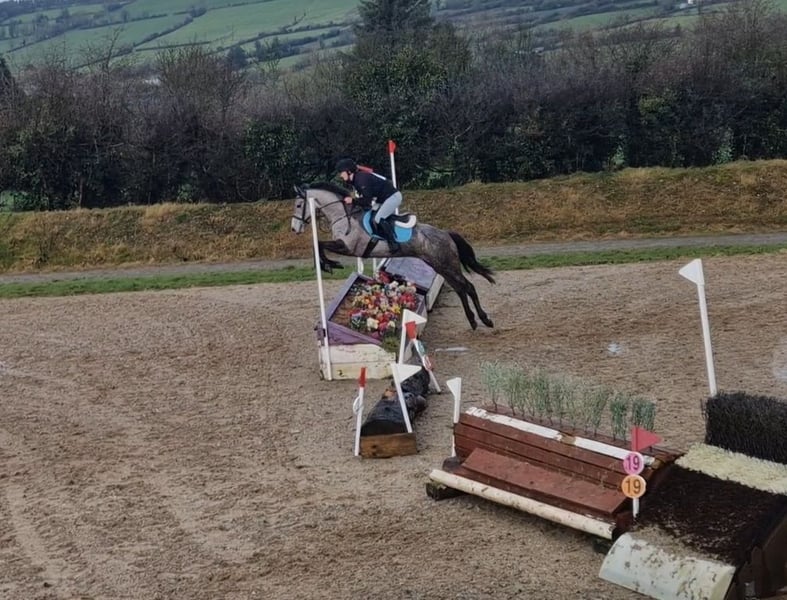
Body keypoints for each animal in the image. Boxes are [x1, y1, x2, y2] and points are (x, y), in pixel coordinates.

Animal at [291, 182, 495, 330]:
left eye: (299, 204)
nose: (295, 229)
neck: (343, 215)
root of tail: (446, 233)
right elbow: (318, 245)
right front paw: (328, 264)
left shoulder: (348, 247)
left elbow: (319, 244)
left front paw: (329, 265)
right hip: (440, 266)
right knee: (461, 289)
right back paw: (474, 320)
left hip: (447, 264)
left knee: (468, 287)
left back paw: (484, 320)